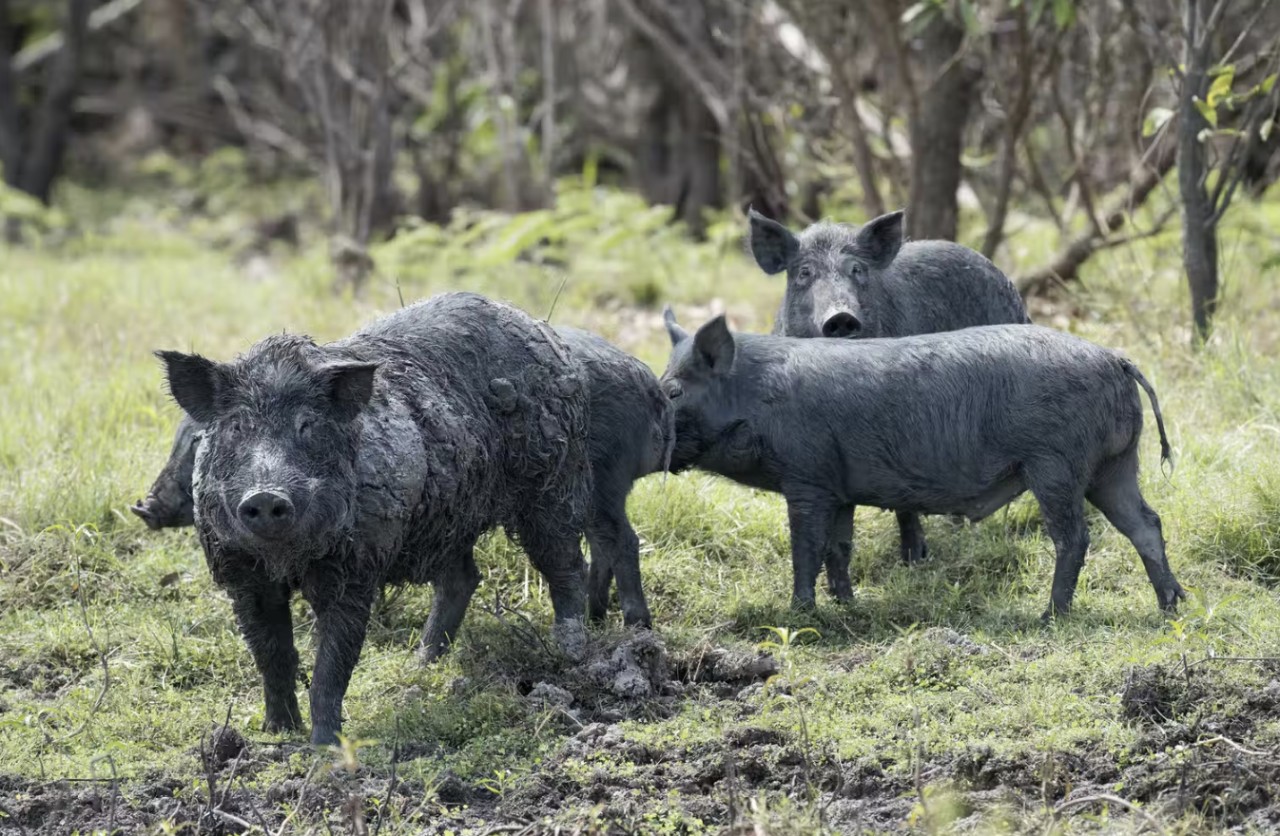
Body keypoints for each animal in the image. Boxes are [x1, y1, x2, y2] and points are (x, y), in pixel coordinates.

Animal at [134, 326, 674, 630]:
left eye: (196, 444)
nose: (144, 506)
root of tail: (648, 382)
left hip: (585, 485)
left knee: (611, 542)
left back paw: (624, 629)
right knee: (471, 576)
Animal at [153, 292, 592, 745]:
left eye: (307, 425)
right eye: (238, 426)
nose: (265, 495)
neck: (286, 561)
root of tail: (542, 331)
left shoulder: (355, 570)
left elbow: (332, 664)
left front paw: (324, 746)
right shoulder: (241, 577)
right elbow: (272, 657)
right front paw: (276, 732)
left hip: (552, 480)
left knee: (566, 564)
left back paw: (572, 654)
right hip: (448, 518)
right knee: (463, 579)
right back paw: (422, 664)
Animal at [661, 309, 1185, 619]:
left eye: (674, 390)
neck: (756, 399)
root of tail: (1115, 359)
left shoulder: (806, 477)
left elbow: (805, 548)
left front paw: (800, 613)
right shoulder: (838, 488)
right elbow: (838, 548)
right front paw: (848, 606)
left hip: (1056, 464)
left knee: (1075, 536)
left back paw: (1049, 616)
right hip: (1113, 466)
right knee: (1146, 523)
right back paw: (1173, 605)